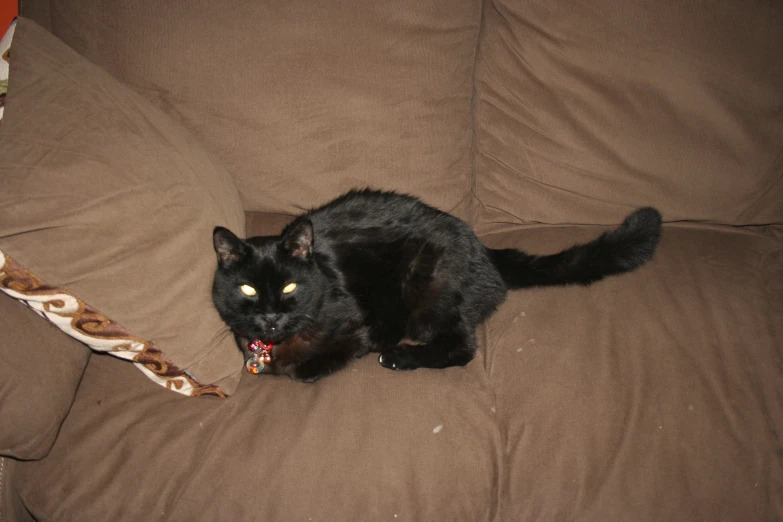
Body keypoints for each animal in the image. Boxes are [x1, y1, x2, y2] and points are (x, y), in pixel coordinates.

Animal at [214, 189, 660, 380]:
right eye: (248, 290)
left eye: (289, 287)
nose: (271, 317)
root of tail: (483, 248)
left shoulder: (357, 323)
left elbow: (310, 367)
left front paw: (313, 364)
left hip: (426, 290)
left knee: (462, 347)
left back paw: (399, 357)